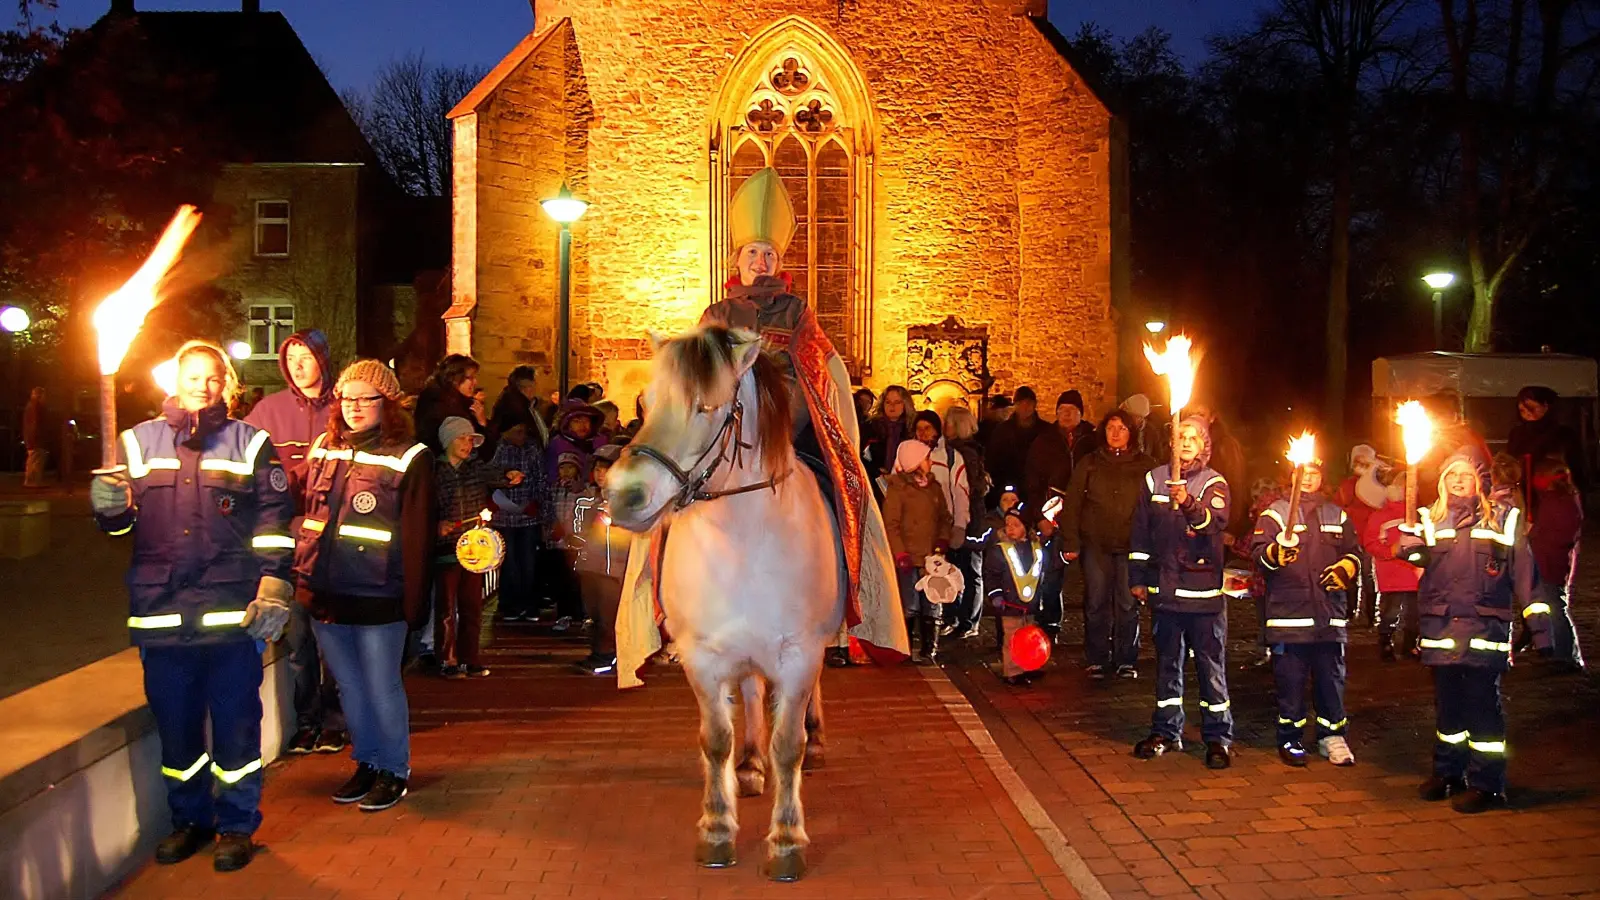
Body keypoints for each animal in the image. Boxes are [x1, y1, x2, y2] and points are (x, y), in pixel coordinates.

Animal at [604, 321, 844, 877]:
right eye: (645, 401)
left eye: (708, 407)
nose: (623, 495)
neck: (743, 543)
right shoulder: (703, 655)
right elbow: (715, 740)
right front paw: (716, 830)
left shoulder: (799, 654)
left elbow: (789, 745)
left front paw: (786, 841)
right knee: (753, 695)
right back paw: (751, 767)